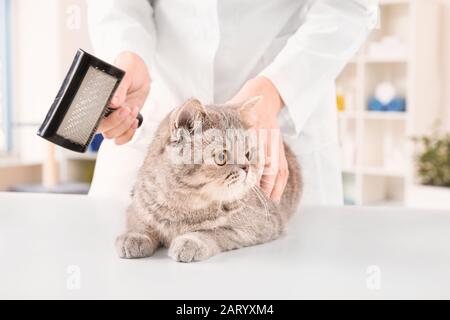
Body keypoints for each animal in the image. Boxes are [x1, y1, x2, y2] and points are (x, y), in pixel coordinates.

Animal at [116, 97, 302, 262]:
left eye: (248, 154)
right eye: (221, 156)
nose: (246, 167)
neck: (184, 205)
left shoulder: (259, 226)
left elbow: (213, 232)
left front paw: (190, 241)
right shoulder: (137, 205)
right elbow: (139, 222)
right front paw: (133, 237)